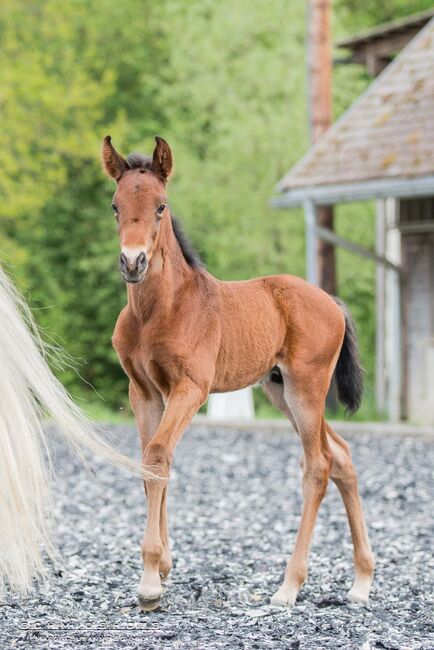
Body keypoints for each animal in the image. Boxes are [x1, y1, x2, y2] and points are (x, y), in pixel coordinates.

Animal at [101, 135, 372, 608]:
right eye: (116, 205)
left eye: (161, 206)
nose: (132, 263)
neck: (159, 311)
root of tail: (332, 302)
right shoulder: (145, 392)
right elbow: (151, 461)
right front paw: (163, 569)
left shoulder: (191, 389)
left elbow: (158, 455)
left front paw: (150, 581)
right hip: (279, 390)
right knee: (341, 455)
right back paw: (361, 581)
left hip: (306, 388)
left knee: (317, 465)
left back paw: (289, 586)